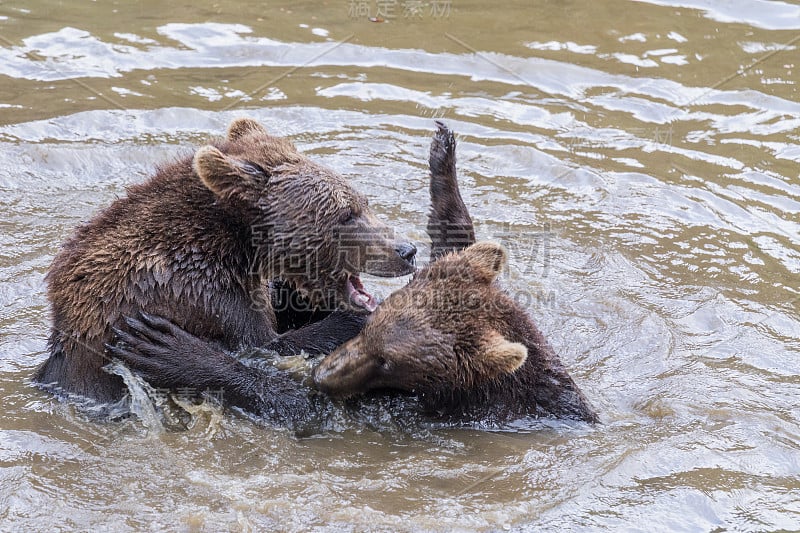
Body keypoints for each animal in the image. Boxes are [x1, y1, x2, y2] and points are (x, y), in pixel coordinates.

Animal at [34, 117, 416, 404]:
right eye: (346, 214)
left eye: (363, 202)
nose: (407, 250)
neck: (238, 245)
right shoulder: (197, 295)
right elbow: (268, 343)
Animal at [104, 120, 592, 424]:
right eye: (349, 212)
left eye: (389, 360)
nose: (406, 250)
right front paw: (442, 153)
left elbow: (297, 395)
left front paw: (169, 349)